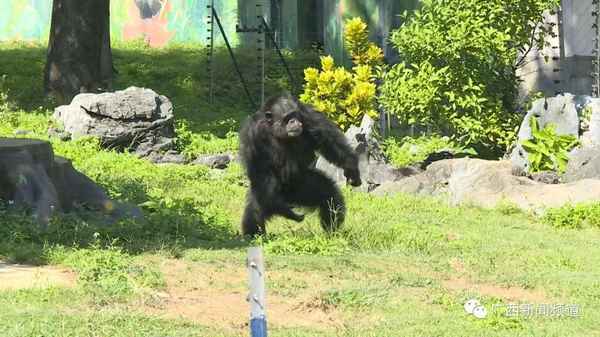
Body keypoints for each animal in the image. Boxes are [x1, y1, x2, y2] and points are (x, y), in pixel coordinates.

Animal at [238, 92, 360, 236]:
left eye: (294, 115)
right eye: (287, 117)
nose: (294, 121)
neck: (275, 130)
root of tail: (290, 198)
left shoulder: (309, 116)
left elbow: (329, 141)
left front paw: (351, 168)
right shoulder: (251, 135)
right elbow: (258, 168)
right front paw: (286, 212)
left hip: (302, 187)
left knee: (329, 195)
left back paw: (331, 232)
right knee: (256, 206)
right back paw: (255, 233)